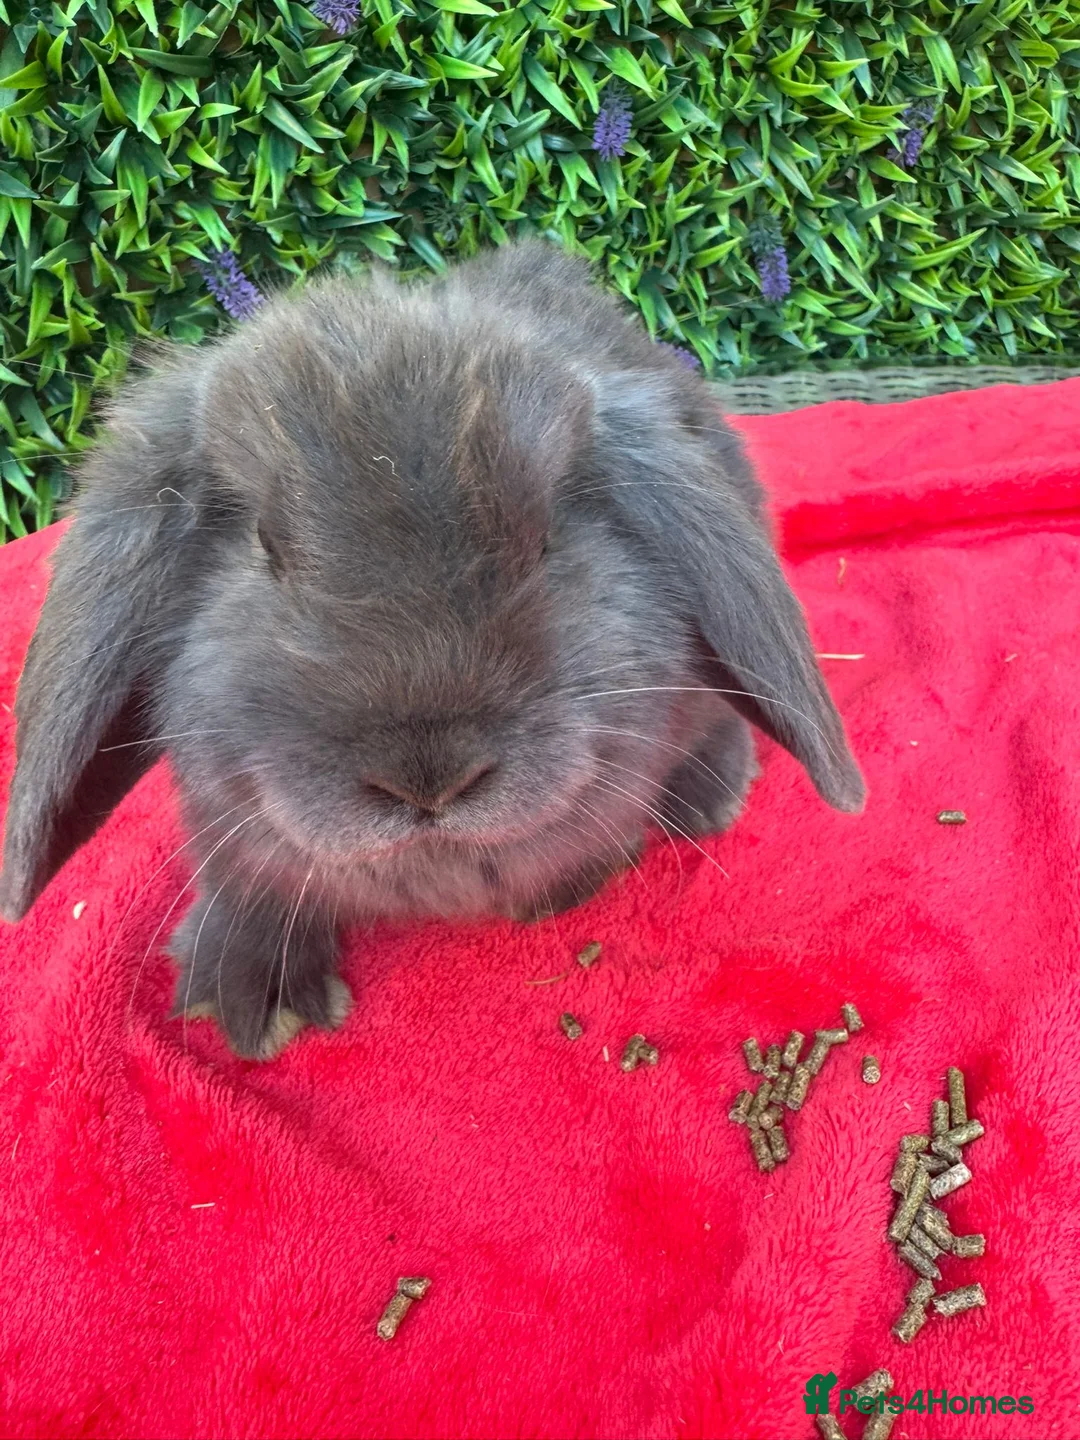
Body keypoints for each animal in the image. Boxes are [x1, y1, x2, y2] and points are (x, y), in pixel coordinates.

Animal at [0, 239, 864, 1060]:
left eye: (547, 538)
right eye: (264, 548)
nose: (429, 777)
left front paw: (565, 884)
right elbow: (243, 874)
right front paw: (251, 995)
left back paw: (707, 797)